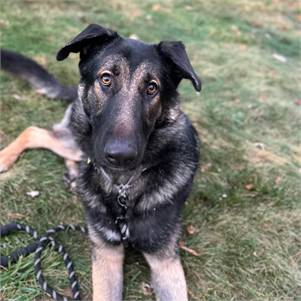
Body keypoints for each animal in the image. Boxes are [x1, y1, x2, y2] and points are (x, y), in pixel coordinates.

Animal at [1, 24, 202, 300]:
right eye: (106, 79)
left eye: (152, 88)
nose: (120, 155)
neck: (122, 187)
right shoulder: (106, 254)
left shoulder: (165, 261)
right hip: (77, 140)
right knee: (34, 131)